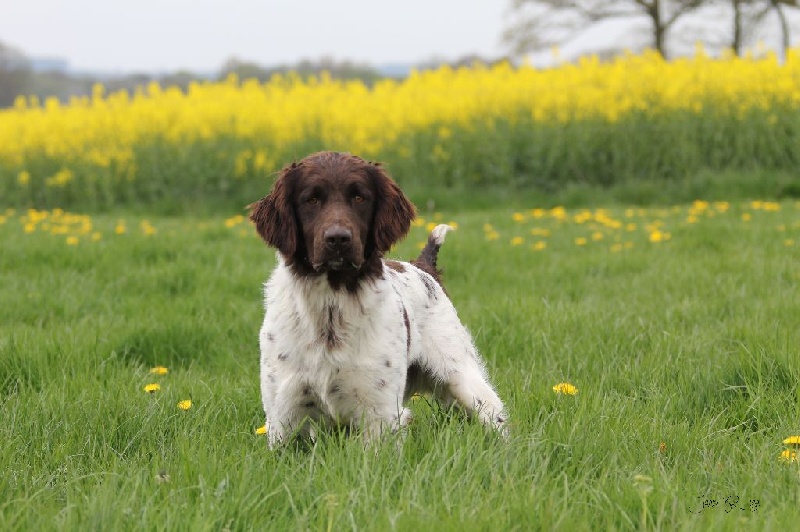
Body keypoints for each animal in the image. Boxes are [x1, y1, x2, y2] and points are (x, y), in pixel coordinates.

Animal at [250, 150, 506, 444]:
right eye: (311, 200)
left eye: (359, 198)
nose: (338, 239)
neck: (332, 307)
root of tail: (422, 266)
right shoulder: (285, 417)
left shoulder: (379, 413)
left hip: (462, 379)